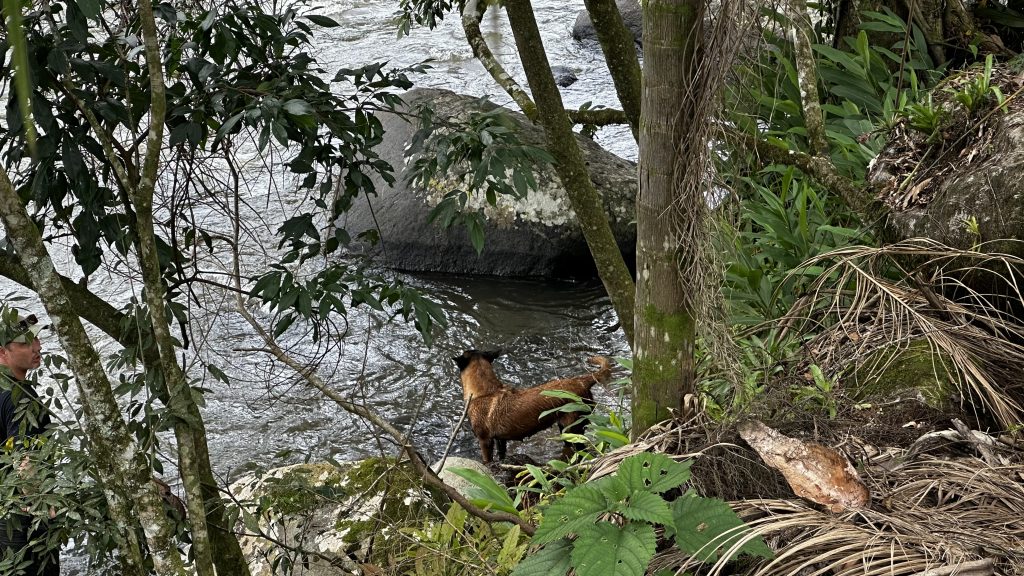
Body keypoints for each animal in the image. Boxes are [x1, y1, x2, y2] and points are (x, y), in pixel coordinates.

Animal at [454, 348, 610, 463]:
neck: (486, 392)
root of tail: (581, 381)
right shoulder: (500, 440)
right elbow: (502, 455)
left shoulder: (485, 441)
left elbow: (487, 460)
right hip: (565, 428)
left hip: (572, 428)